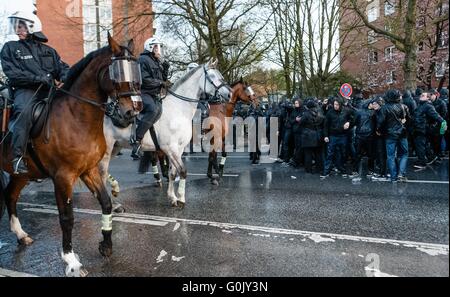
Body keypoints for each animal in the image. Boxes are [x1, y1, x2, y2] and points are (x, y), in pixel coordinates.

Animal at [0, 34, 141, 276]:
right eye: (116, 72)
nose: (131, 112)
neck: (76, 116)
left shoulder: (89, 170)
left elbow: (105, 203)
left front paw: (106, 245)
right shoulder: (63, 177)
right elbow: (67, 218)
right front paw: (71, 260)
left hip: (21, 175)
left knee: (10, 195)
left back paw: (20, 234)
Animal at [100, 59, 230, 207]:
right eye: (212, 76)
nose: (229, 94)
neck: (178, 109)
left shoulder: (179, 149)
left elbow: (173, 172)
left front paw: (173, 197)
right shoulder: (171, 148)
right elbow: (183, 170)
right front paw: (181, 198)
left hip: (116, 146)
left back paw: (115, 191)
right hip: (108, 147)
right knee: (101, 170)